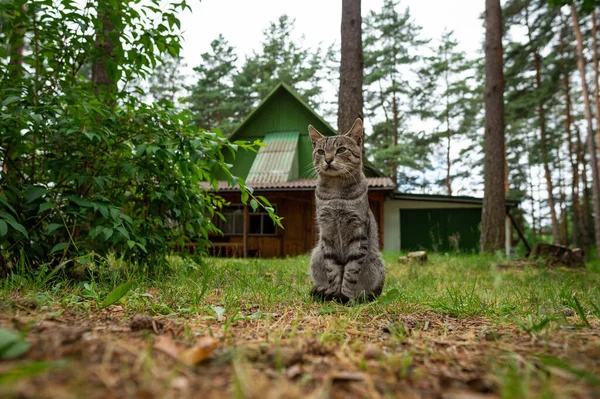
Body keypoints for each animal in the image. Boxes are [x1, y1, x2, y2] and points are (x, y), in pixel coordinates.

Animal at [308, 119, 386, 304]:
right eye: (321, 151)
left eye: (341, 149)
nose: (328, 159)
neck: (336, 192)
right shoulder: (327, 232)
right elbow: (333, 270)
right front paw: (334, 294)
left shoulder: (358, 233)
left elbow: (350, 272)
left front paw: (344, 296)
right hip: (316, 254)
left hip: (377, 265)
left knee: (371, 293)